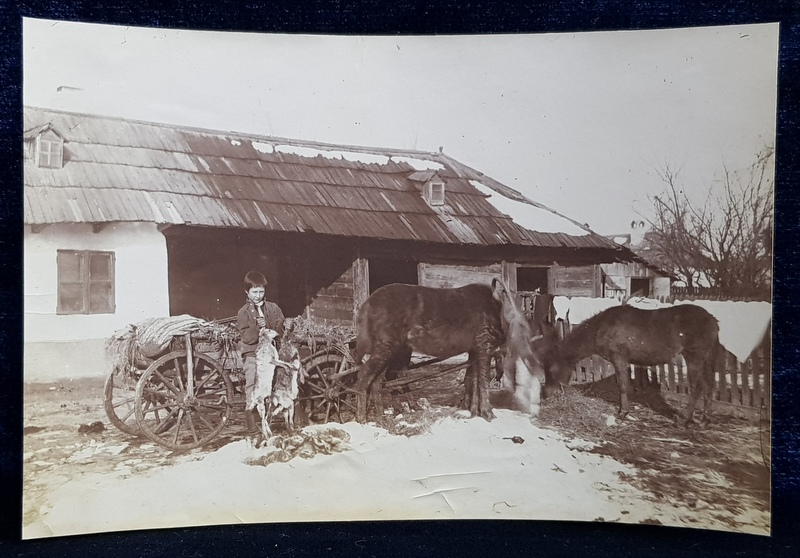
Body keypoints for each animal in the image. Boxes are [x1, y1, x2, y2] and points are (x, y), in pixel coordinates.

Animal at [354, 280, 528, 424]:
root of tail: (366, 305)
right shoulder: (484, 341)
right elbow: (483, 380)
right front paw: (489, 415)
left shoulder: (474, 348)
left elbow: (472, 379)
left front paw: (472, 412)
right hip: (386, 344)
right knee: (365, 374)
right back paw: (362, 419)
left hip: (392, 348)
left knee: (379, 380)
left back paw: (383, 417)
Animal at [544, 304, 720, 426]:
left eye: (551, 369)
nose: (545, 394)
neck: (599, 330)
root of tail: (715, 323)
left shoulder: (619, 357)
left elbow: (622, 385)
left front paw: (622, 413)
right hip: (706, 356)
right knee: (708, 385)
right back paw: (705, 420)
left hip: (694, 355)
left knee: (697, 386)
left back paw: (684, 420)